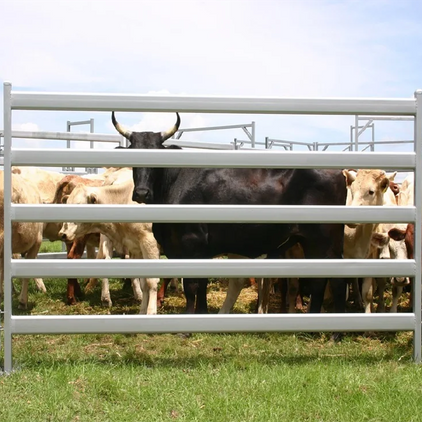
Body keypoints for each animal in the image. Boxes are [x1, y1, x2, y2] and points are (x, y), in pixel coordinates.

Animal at [111, 110, 346, 314]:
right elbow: (201, 285)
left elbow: (191, 286)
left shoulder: (191, 243)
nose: (142, 193)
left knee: (330, 281)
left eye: (158, 153)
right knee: (325, 281)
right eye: (133, 154)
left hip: (322, 241)